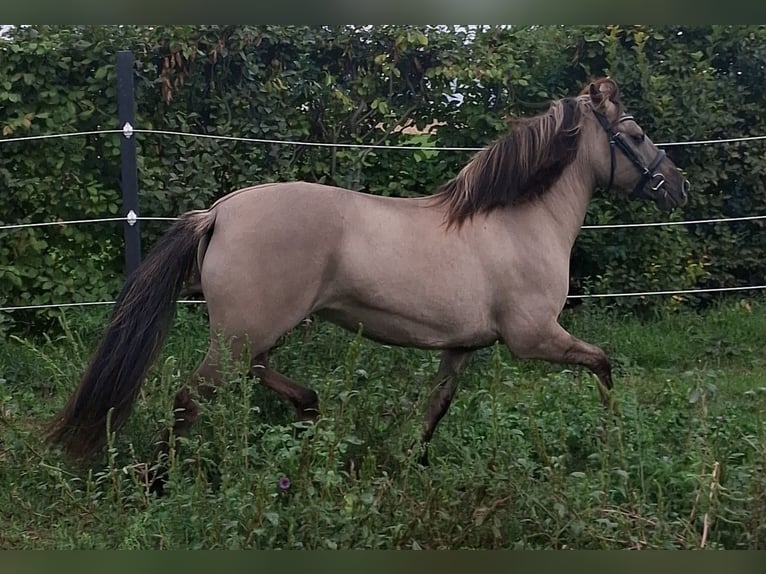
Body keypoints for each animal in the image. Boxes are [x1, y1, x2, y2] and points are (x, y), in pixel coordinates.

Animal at [46, 77, 690, 472]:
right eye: (634, 136)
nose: (679, 186)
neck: (517, 223)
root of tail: (219, 213)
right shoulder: (533, 338)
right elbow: (603, 364)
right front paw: (611, 442)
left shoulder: (461, 347)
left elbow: (436, 407)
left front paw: (411, 463)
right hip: (239, 338)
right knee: (187, 399)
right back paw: (158, 482)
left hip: (250, 334)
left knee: (260, 377)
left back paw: (310, 416)